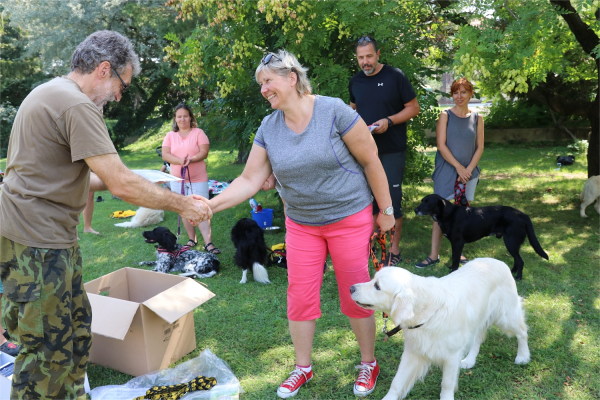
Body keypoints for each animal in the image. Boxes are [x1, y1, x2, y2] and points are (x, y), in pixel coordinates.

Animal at [352, 258, 528, 398]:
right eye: (373, 280)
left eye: (377, 286)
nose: (351, 288)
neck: (427, 314)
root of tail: (499, 261)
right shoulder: (412, 352)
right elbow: (397, 382)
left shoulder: (451, 356)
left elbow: (447, 384)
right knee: (478, 339)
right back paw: (469, 360)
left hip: (506, 316)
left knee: (522, 332)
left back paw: (523, 356)